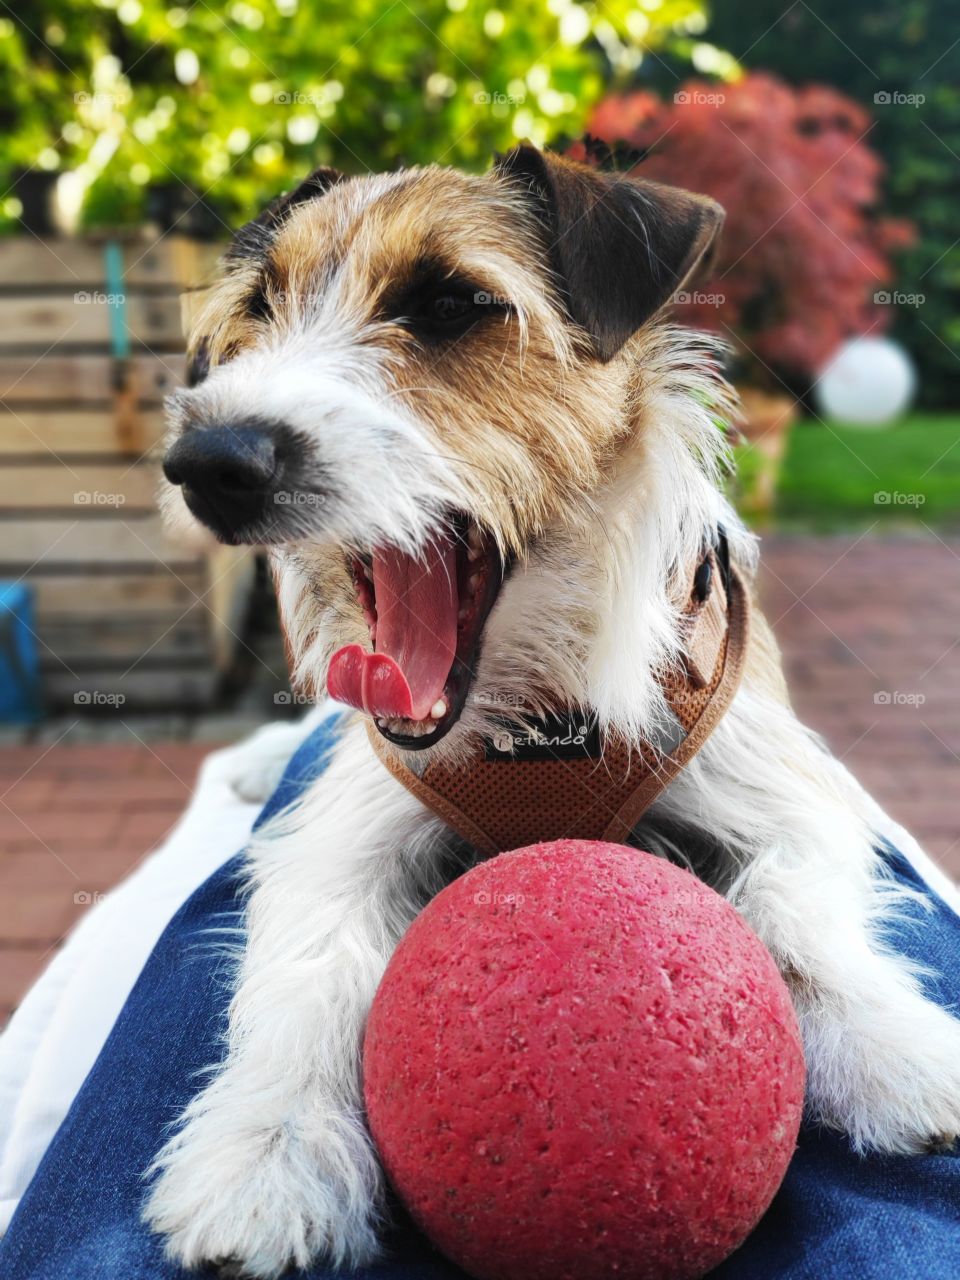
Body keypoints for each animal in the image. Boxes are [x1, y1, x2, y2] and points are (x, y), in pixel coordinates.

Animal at [146, 145, 960, 1274]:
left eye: (451, 304)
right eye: (258, 308)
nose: (212, 461)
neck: (533, 718)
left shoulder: (793, 802)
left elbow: (798, 919)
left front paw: (899, 1047)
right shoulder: (342, 840)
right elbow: (309, 970)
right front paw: (266, 1147)